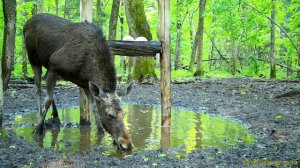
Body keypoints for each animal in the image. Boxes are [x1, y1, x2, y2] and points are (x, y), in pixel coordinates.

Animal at [22, 13, 132, 150]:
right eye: (109, 115)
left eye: (125, 113)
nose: (127, 144)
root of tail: (26, 24)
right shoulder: (53, 66)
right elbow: (47, 100)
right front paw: (38, 129)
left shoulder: (86, 84)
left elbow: (93, 107)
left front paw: (100, 132)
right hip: (33, 58)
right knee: (38, 89)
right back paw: (41, 119)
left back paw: (55, 116)